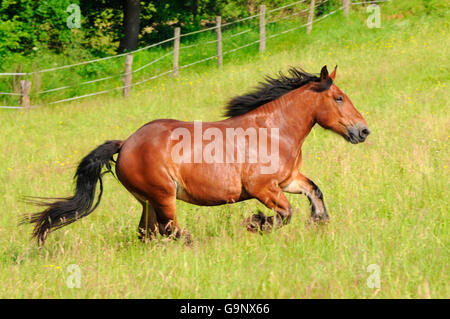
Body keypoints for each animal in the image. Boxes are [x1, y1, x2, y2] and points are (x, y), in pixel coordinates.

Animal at [24, 64, 370, 245]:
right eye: (339, 98)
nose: (363, 131)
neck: (273, 130)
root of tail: (126, 143)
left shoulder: (287, 180)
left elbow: (315, 191)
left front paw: (320, 221)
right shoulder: (263, 189)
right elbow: (285, 214)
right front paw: (255, 223)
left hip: (148, 201)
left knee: (148, 233)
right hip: (164, 196)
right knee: (171, 230)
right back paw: (195, 244)